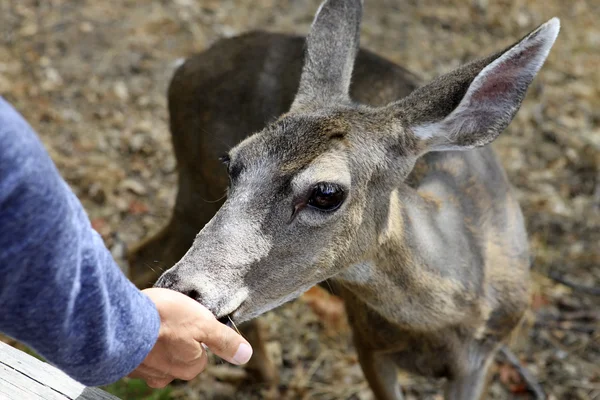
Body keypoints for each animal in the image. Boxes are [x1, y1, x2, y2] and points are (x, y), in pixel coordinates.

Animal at [129, 1, 560, 398]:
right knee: (139, 254)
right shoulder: (366, 342)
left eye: (326, 193)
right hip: (193, 184)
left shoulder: (480, 361)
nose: (183, 290)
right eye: (233, 163)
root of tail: (187, 65)